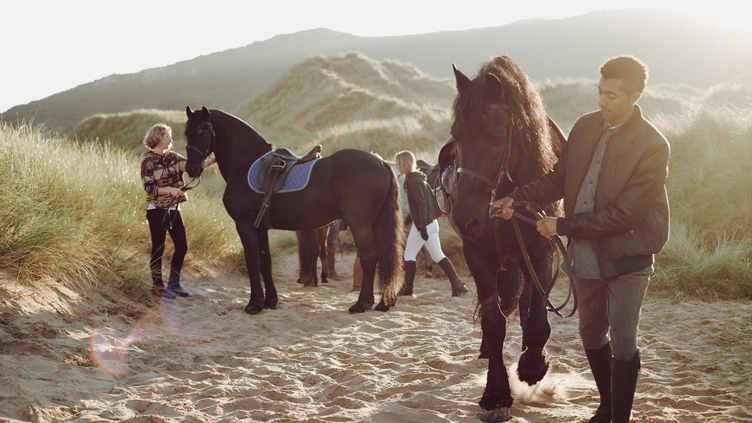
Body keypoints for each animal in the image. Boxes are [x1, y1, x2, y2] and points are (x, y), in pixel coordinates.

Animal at [183, 106, 404, 315]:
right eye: (187, 133)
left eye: (203, 131)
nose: (191, 168)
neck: (245, 165)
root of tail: (380, 161)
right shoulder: (260, 228)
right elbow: (265, 262)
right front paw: (270, 301)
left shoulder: (244, 225)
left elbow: (252, 261)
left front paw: (254, 304)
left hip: (360, 224)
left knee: (368, 257)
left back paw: (361, 304)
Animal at [441, 56, 566, 421]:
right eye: (457, 136)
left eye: (496, 137)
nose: (464, 218)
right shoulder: (477, 255)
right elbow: (494, 320)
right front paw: (496, 392)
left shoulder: (543, 252)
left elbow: (537, 316)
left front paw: (533, 365)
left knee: (525, 305)